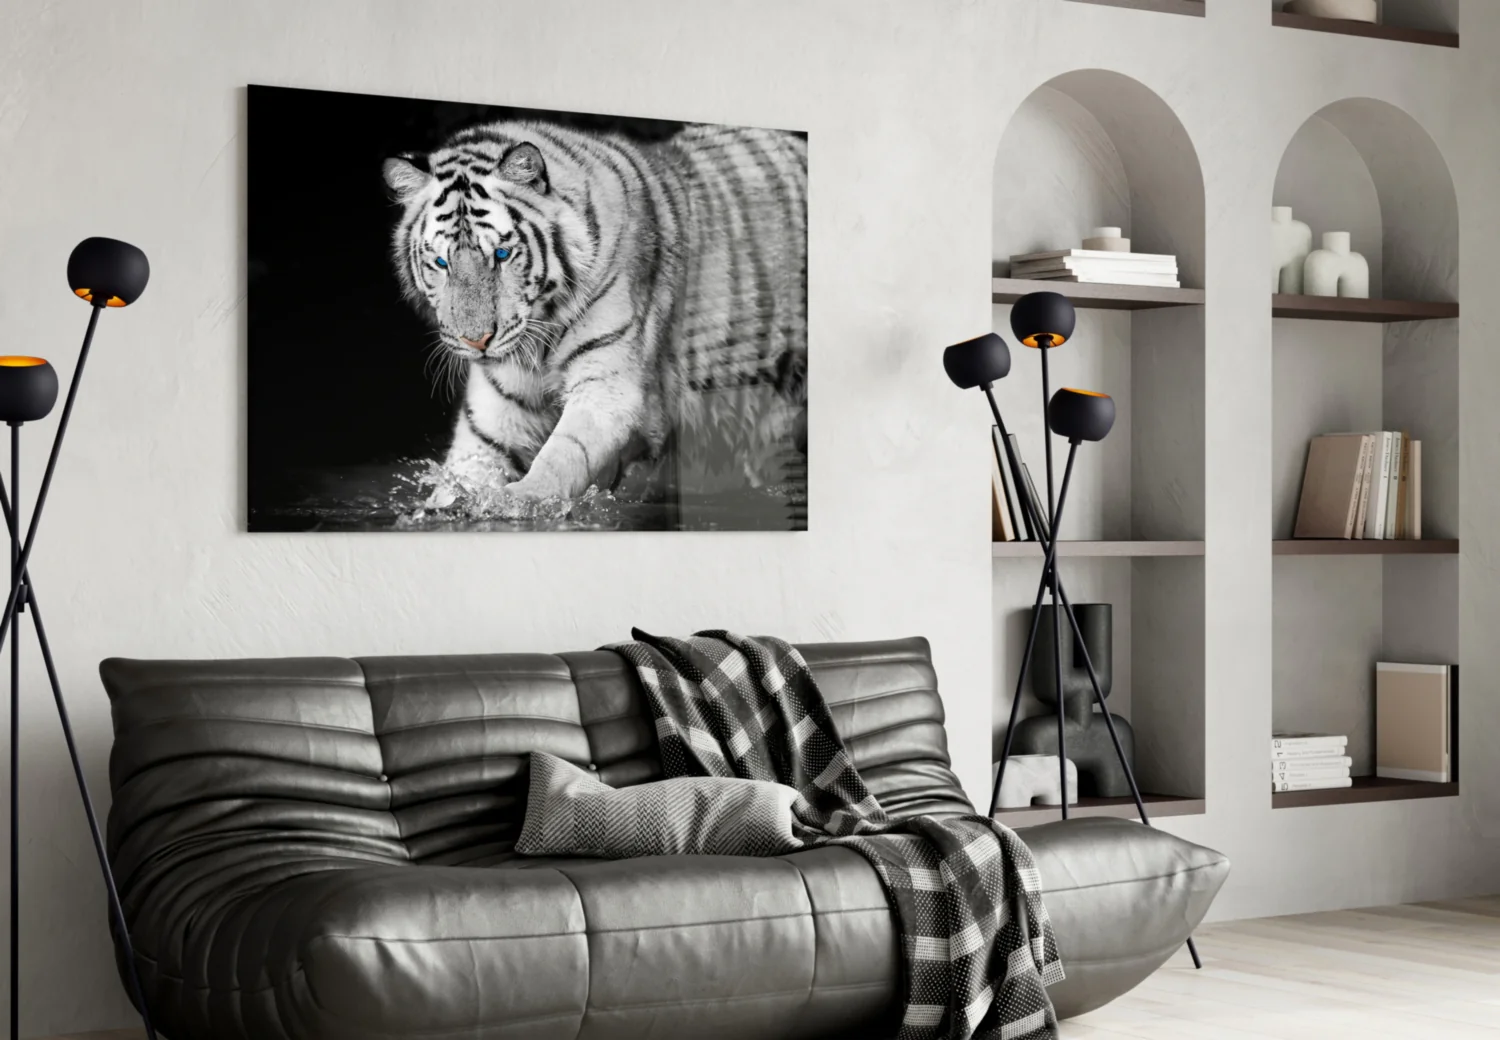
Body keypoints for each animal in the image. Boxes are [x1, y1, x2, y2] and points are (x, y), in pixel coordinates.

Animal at [383, 117, 807, 507]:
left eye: (501, 254)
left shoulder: (607, 386)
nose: (477, 341)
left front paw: (520, 499)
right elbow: (465, 469)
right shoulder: (495, 409)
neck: (540, 335)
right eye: (441, 262)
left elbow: (563, 453)